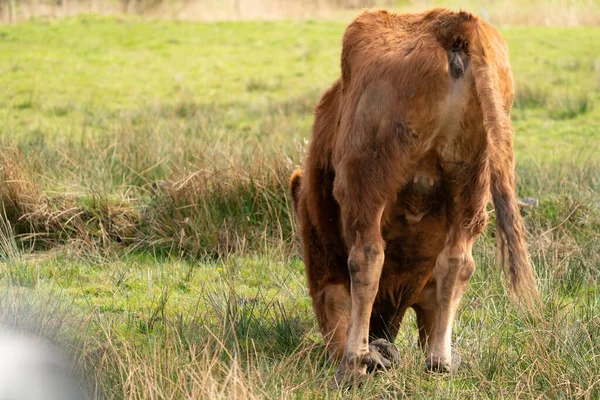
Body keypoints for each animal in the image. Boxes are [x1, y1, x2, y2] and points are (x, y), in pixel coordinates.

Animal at [290, 8, 540, 384]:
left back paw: (353, 363)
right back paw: (439, 361)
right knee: (457, 262)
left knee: (367, 257)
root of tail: (455, 24)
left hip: (365, 182)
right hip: (471, 186)